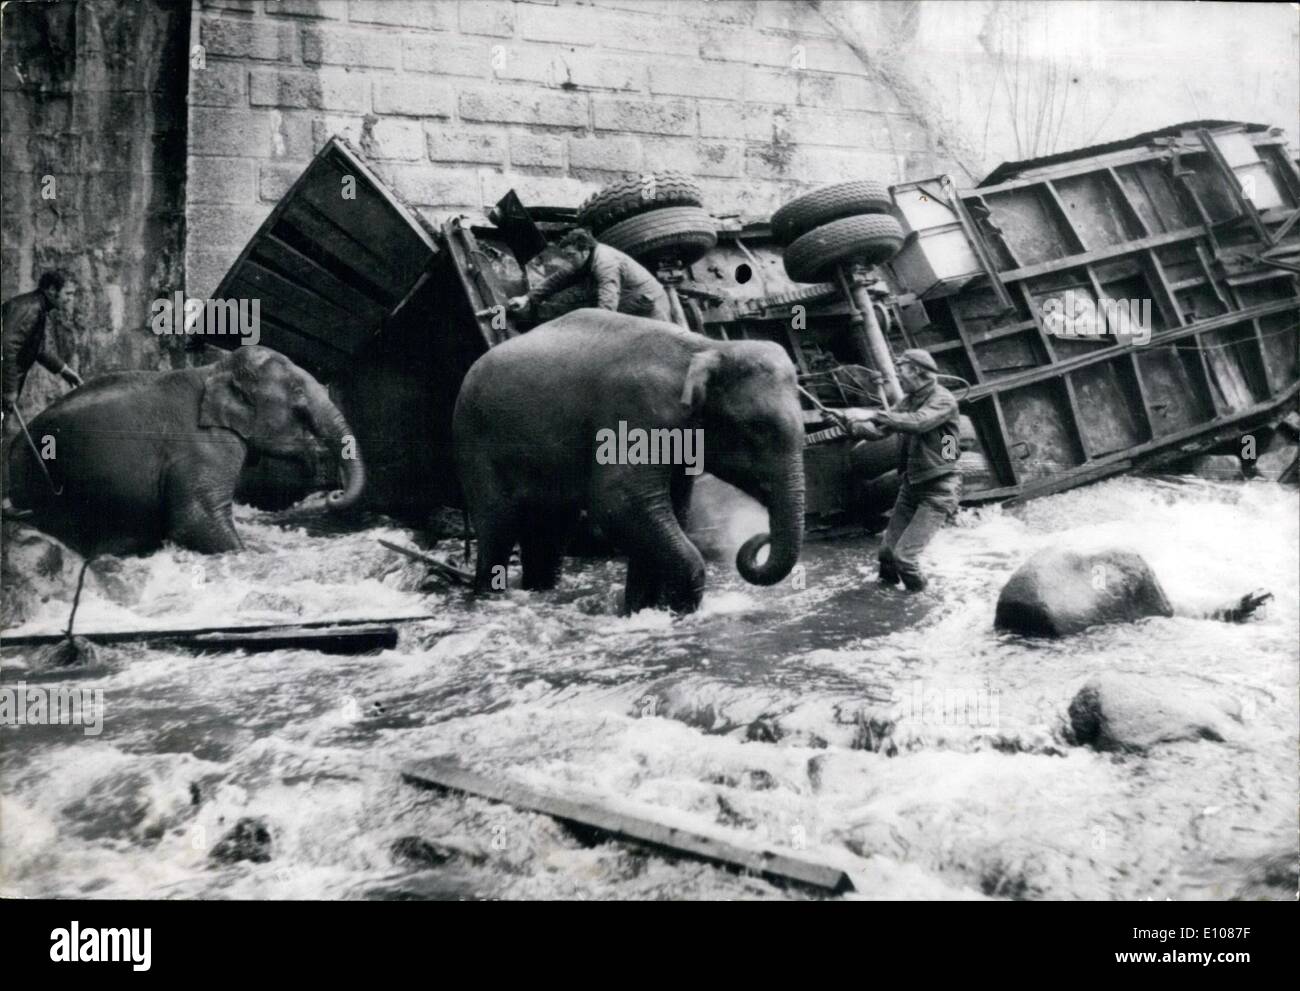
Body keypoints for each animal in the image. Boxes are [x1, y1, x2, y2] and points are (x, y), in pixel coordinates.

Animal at [452, 309, 806, 611]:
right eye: (757, 427)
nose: (761, 535)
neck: (705, 348)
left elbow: (668, 508)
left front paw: (641, 609)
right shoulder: (632, 412)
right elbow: (618, 503)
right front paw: (674, 609)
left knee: (549, 535)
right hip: (476, 446)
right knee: (498, 529)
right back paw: (488, 600)